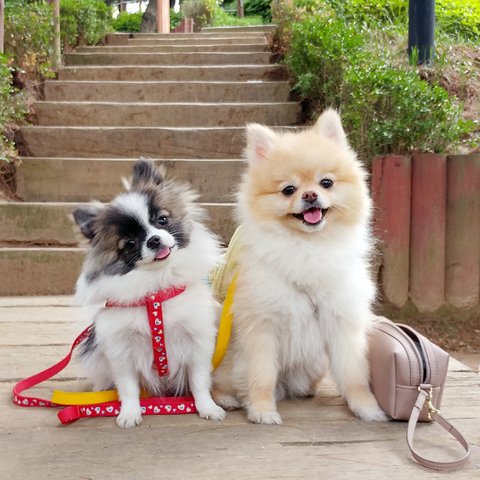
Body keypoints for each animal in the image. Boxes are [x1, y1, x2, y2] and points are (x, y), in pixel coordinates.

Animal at [72, 159, 226, 428]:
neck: (156, 290)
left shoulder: (196, 341)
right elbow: (128, 387)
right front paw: (129, 413)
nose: (153, 240)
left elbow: (199, 381)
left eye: (162, 220)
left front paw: (208, 408)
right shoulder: (122, 350)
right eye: (130, 244)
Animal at [212, 109, 387, 424]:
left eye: (326, 183)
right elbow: (261, 375)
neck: (309, 246)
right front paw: (262, 410)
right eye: (288, 190)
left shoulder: (342, 322)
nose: (309, 195)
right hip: (230, 362)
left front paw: (367, 408)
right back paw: (229, 399)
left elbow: (354, 374)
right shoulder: (261, 328)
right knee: (219, 383)